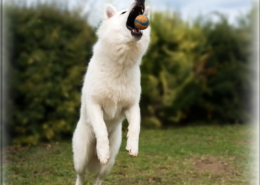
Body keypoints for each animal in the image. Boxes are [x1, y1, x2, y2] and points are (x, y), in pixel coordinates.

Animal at [72, 0, 150, 184]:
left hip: (109, 165)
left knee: (98, 178)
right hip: (81, 157)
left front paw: (132, 147)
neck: (121, 63)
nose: (141, 1)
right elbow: (101, 129)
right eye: (123, 12)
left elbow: (135, 127)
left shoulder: (132, 106)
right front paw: (102, 151)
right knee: (81, 175)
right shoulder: (95, 104)